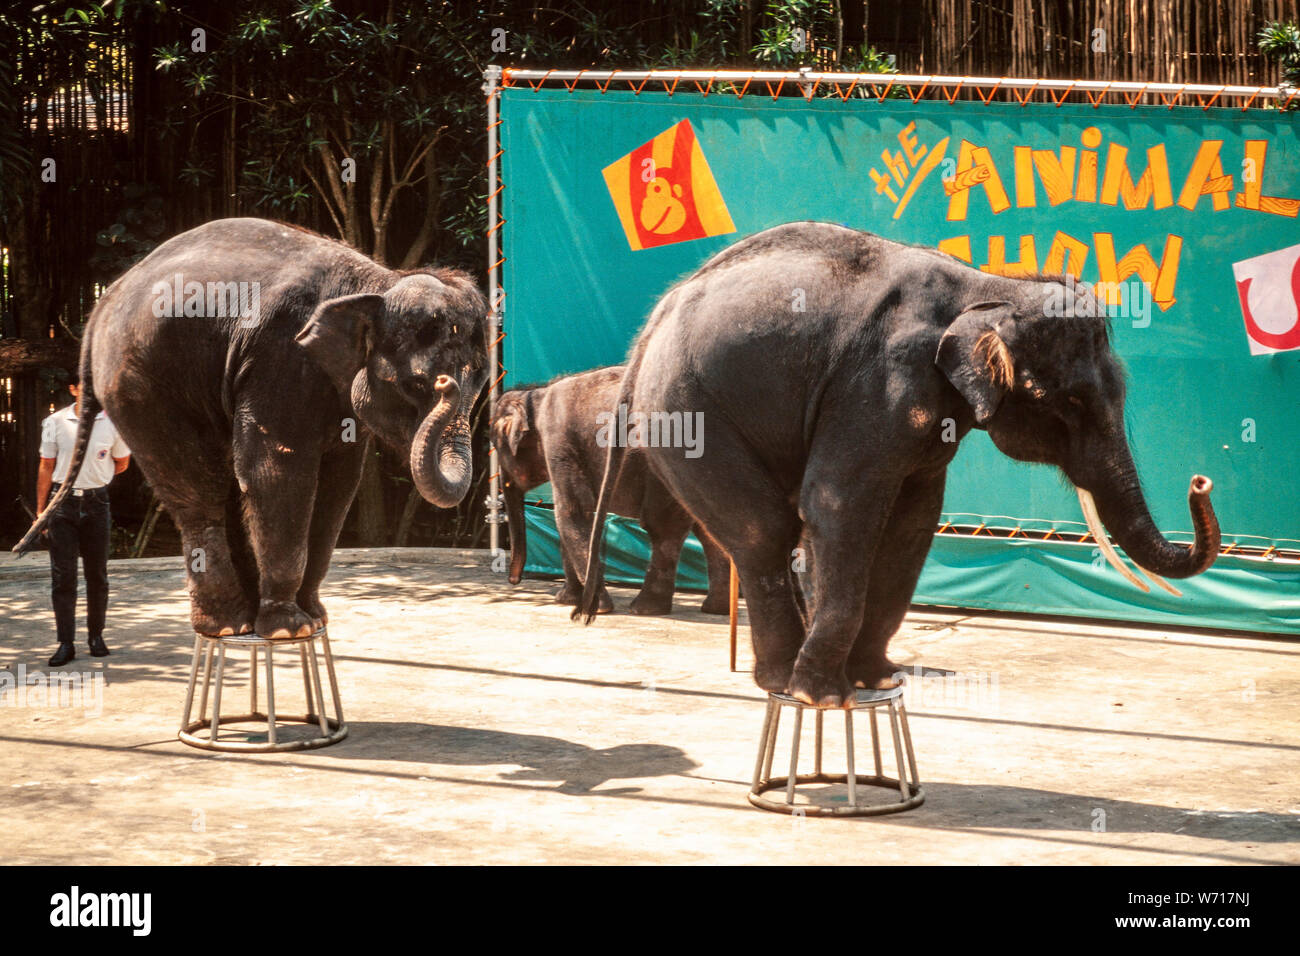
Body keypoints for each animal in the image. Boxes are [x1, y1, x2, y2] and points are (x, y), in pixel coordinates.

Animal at [12, 217, 488, 642]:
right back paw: (227, 625)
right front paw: (290, 629)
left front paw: (315, 618)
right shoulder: (278, 356)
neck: (379, 281)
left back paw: (244, 617)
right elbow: (277, 471)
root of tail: (101, 304)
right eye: (417, 385)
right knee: (197, 489)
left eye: (483, 380)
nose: (446, 385)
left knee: (222, 481)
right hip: (139, 384)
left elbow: (339, 481)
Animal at [488, 361, 733, 616]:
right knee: (709, 528)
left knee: (663, 528)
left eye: (496, 446)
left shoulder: (560, 443)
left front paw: (595, 607)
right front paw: (566, 599)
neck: (535, 394)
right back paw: (715, 609)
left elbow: (574, 513)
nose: (513, 580)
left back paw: (644, 609)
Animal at [585, 221, 1222, 707]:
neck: (987, 287)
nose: (1200, 480)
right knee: (763, 530)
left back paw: (784, 676)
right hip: (687, 413)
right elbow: (838, 503)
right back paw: (786, 682)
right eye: (1068, 403)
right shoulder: (880, 380)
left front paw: (877, 679)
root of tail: (650, 330)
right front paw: (826, 696)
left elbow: (914, 520)